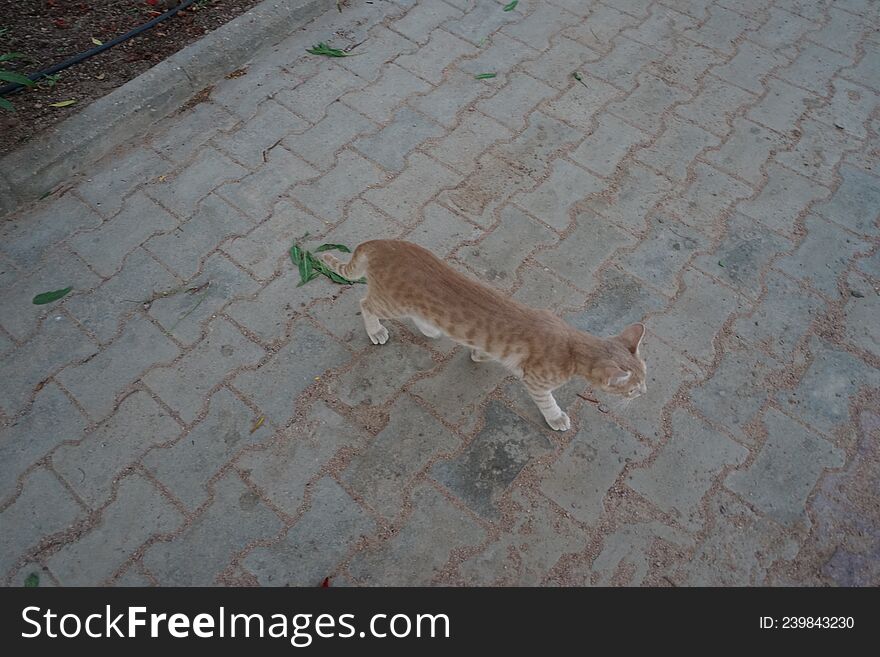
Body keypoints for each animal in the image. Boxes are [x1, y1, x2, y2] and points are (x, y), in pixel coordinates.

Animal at [324, 241, 648, 430]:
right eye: (633, 389)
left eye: (646, 378)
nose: (644, 393)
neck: (572, 345)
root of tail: (382, 242)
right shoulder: (536, 382)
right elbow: (547, 402)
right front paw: (556, 417)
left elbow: (485, 349)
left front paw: (478, 354)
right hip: (390, 302)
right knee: (365, 304)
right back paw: (376, 330)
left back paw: (430, 328)